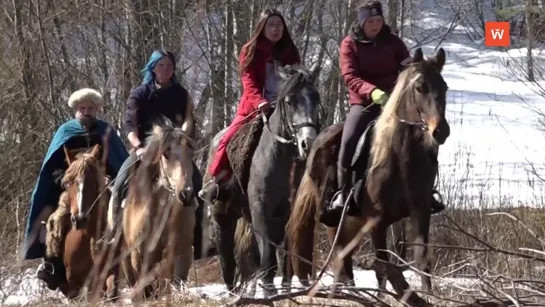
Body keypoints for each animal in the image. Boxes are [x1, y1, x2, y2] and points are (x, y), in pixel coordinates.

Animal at [45, 145, 120, 304]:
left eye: (95, 181)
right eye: (66, 183)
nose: (79, 219)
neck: (89, 235)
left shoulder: (109, 271)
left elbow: (111, 292)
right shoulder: (74, 282)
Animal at [204, 62, 324, 296]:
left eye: (316, 98)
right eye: (290, 101)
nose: (307, 142)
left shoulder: (286, 212)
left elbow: (284, 255)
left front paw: (284, 288)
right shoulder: (261, 208)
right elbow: (267, 252)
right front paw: (269, 290)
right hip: (222, 216)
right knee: (227, 257)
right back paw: (234, 291)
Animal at [286, 47, 448, 298]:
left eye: (444, 87)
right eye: (420, 87)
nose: (441, 131)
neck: (401, 159)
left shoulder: (421, 212)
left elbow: (422, 260)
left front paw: (428, 295)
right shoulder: (377, 222)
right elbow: (383, 268)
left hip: (354, 226)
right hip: (336, 225)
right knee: (341, 262)